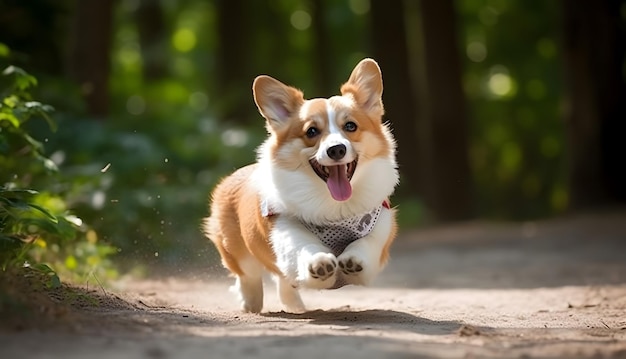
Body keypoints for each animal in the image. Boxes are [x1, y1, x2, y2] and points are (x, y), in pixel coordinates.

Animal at [202, 57, 398, 314]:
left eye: (350, 126)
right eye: (311, 131)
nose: (336, 149)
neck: (335, 209)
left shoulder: (381, 228)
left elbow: (366, 244)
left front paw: (353, 260)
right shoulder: (286, 231)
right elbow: (305, 249)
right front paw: (319, 263)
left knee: (282, 282)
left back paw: (294, 305)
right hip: (236, 250)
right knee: (249, 276)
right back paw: (251, 302)